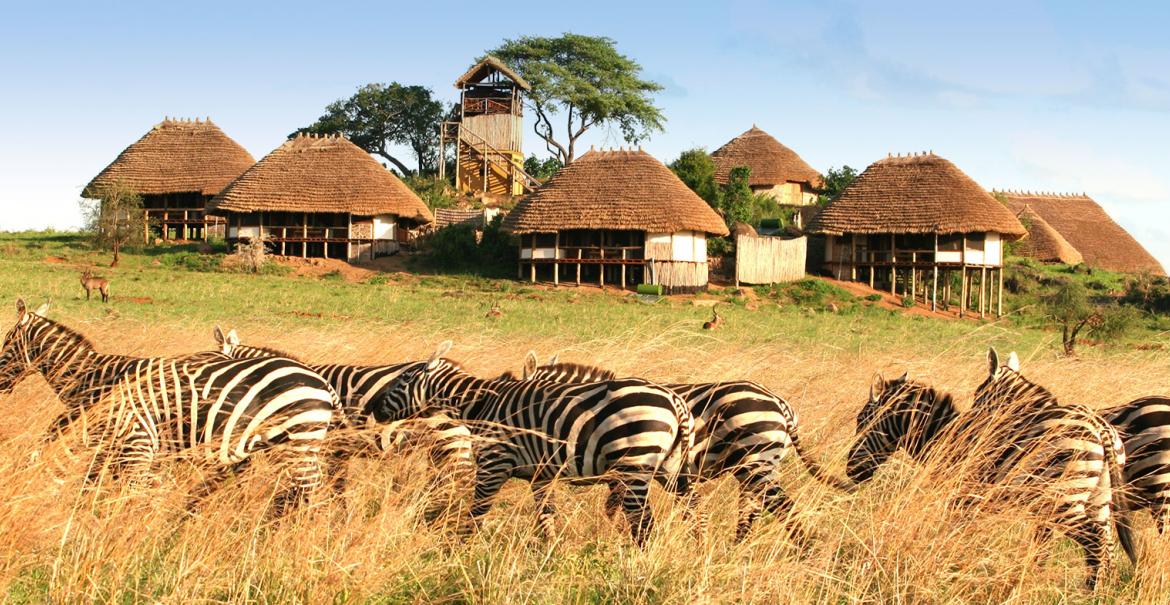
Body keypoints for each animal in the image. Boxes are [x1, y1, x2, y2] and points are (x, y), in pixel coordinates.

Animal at [1, 299, 339, 512]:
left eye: (4, 343)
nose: (1, 387)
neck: (92, 377)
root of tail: (322, 382)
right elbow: (93, 484)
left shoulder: (128, 438)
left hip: (297, 442)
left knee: (308, 490)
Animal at [372, 341, 692, 545]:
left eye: (401, 382)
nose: (374, 409)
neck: (480, 403)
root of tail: (674, 400)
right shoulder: (541, 474)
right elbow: (545, 516)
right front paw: (550, 552)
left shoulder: (493, 465)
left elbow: (477, 513)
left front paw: (457, 552)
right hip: (670, 469)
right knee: (690, 507)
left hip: (634, 466)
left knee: (644, 522)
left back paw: (639, 564)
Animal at [519, 351, 851, 540]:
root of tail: (780, 403)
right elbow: (614, 508)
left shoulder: (623, 468)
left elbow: (613, 509)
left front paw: (610, 538)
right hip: (755, 466)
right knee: (752, 512)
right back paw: (737, 550)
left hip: (756, 461)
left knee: (782, 508)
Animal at [851, 346, 1132, 587]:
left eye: (861, 421)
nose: (850, 470)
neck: (943, 436)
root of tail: (1099, 428)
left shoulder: (961, 498)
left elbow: (955, 535)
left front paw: (952, 567)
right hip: (1098, 499)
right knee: (1107, 543)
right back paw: (1102, 589)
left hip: (1063, 500)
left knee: (1095, 541)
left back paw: (1091, 590)